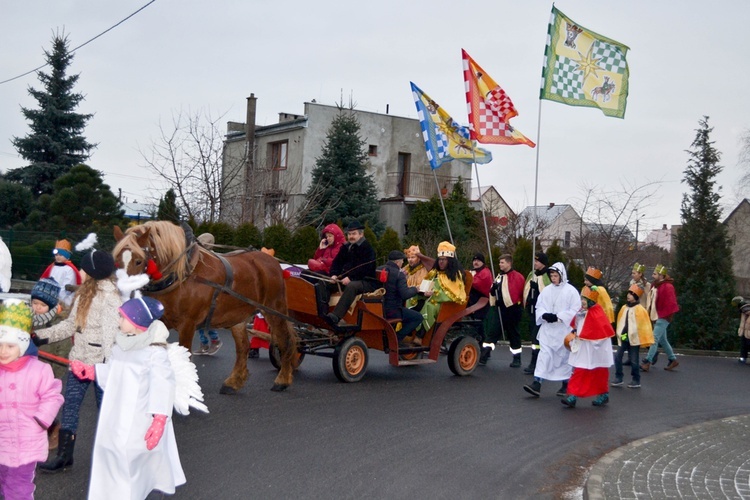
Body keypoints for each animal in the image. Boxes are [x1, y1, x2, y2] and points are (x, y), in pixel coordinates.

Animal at [113, 223, 298, 394]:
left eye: (138, 261)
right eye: (115, 259)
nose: (121, 292)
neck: (183, 275)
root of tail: (271, 260)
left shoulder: (187, 325)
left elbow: (185, 354)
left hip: (274, 309)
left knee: (284, 340)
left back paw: (282, 379)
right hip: (237, 316)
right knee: (243, 347)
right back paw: (234, 382)